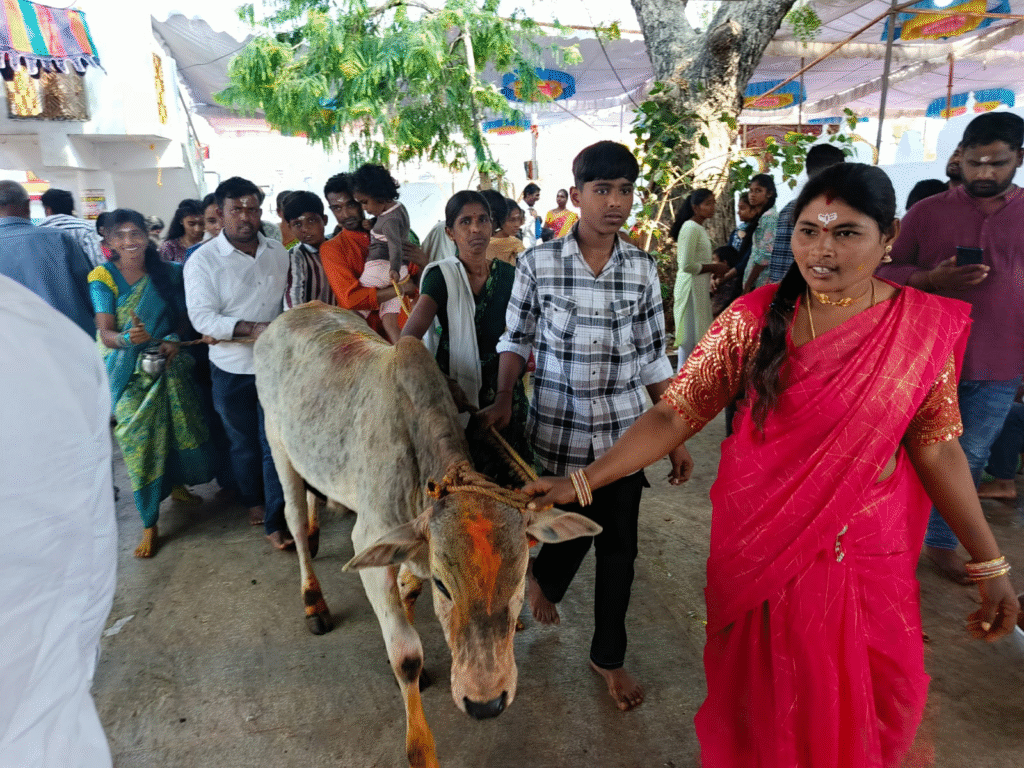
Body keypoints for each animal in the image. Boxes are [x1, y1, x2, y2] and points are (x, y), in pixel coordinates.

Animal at [253, 304, 600, 768]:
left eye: (520, 579)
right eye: (444, 585)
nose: (486, 702)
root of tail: (294, 312)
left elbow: (407, 591)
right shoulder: (370, 542)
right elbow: (406, 655)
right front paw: (419, 746)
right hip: (278, 444)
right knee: (291, 511)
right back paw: (312, 596)